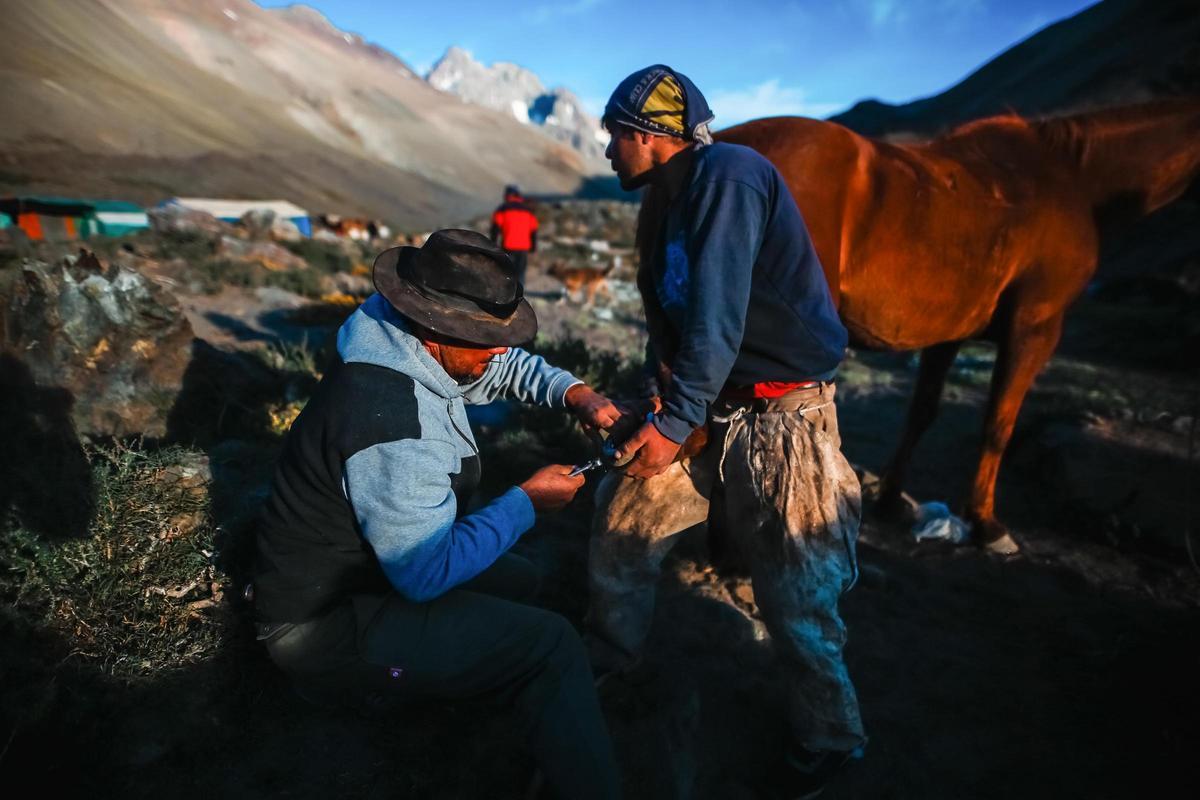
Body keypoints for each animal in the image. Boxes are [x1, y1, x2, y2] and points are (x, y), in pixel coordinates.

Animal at [638, 100, 1200, 554]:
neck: (1075, 180)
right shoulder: (1037, 325)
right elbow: (999, 424)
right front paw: (986, 524)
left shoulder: (948, 332)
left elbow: (923, 411)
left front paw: (891, 499)